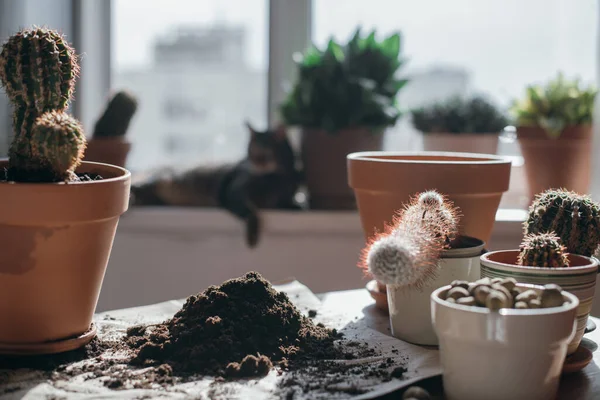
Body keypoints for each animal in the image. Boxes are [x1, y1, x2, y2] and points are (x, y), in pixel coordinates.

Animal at [129, 122, 302, 247]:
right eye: (249, 150)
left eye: (264, 152)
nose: (249, 162)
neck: (275, 179)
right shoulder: (234, 192)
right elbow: (251, 212)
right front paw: (252, 236)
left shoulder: (283, 196)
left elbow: (287, 203)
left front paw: (295, 205)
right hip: (155, 180)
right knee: (135, 188)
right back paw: (131, 199)